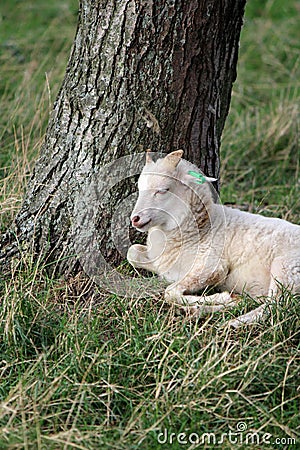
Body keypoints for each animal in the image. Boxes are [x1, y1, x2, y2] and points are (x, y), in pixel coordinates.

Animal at [126, 151, 300, 326]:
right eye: (139, 188)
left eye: (163, 190)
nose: (135, 219)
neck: (202, 229)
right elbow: (132, 252)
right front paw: (227, 299)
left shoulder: (212, 266)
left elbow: (169, 292)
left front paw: (220, 297)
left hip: (286, 269)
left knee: (276, 305)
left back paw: (232, 322)